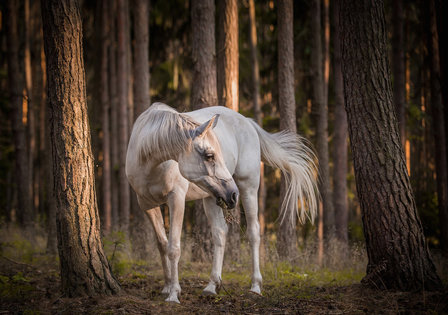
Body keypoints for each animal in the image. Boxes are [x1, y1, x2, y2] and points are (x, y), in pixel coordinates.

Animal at [124, 103, 316, 304]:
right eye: (209, 155)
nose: (233, 194)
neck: (149, 161)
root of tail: (247, 122)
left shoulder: (176, 199)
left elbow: (173, 248)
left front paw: (174, 294)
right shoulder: (147, 205)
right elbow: (162, 244)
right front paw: (167, 287)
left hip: (248, 187)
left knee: (253, 232)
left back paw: (255, 286)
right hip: (212, 196)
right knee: (220, 233)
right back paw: (212, 285)